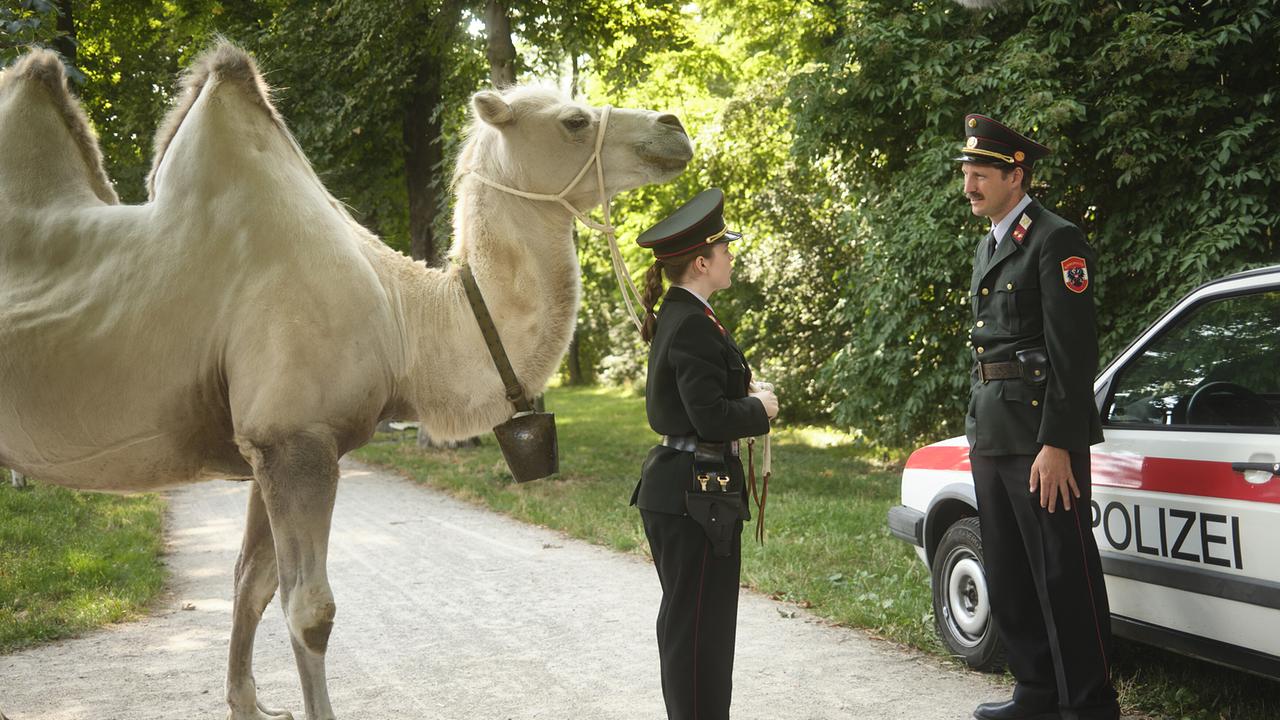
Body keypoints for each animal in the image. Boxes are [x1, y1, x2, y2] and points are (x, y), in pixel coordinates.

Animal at [0, 41, 691, 719]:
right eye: (573, 121)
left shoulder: (261, 446)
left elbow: (250, 584)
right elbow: (310, 609)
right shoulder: (296, 438)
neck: (401, 317)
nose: (675, 126)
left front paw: (248, 704)